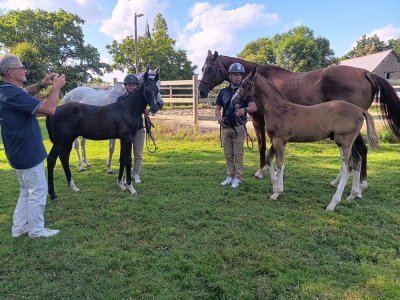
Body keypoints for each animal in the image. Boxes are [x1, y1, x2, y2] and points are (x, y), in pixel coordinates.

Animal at [46, 67, 160, 200]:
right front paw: (130, 187)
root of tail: (54, 110)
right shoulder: (127, 137)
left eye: (157, 90)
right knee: (52, 159)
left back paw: (73, 186)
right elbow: (127, 159)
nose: (155, 107)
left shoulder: (122, 138)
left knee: (64, 158)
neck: (127, 109)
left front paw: (121, 184)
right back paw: (53, 194)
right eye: (146, 90)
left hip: (67, 140)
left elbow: (121, 159)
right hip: (61, 141)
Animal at [198, 49, 400, 190]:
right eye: (202, 68)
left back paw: (360, 184)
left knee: (360, 152)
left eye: (210, 68)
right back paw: (340, 182)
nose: (201, 91)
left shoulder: (258, 122)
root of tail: (366, 73)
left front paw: (261, 172)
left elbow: (263, 147)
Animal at [231, 67, 378, 211]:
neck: (277, 108)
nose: (233, 100)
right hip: (346, 142)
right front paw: (274, 186)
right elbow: (268, 159)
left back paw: (333, 203)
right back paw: (352, 194)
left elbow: (280, 164)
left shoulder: (279, 140)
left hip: (344, 142)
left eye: (244, 84)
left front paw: (277, 192)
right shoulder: (276, 140)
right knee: (355, 161)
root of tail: (360, 110)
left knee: (347, 168)